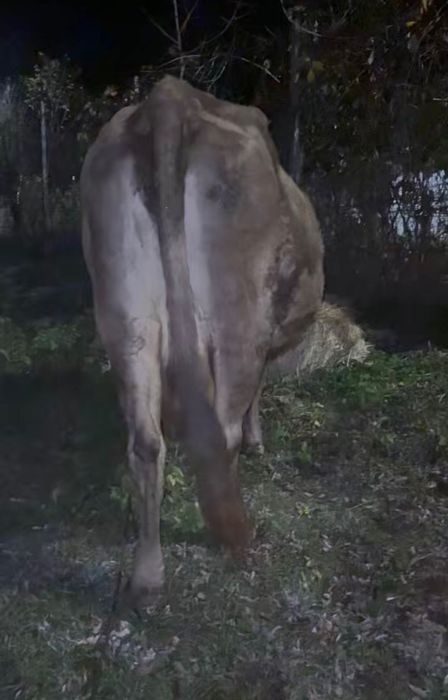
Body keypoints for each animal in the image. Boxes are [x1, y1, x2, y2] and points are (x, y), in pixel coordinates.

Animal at [80, 75, 324, 605]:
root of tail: (171, 98)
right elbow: (256, 397)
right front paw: (258, 441)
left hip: (124, 307)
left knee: (145, 442)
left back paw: (148, 577)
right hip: (239, 313)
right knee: (223, 428)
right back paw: (236, 537)